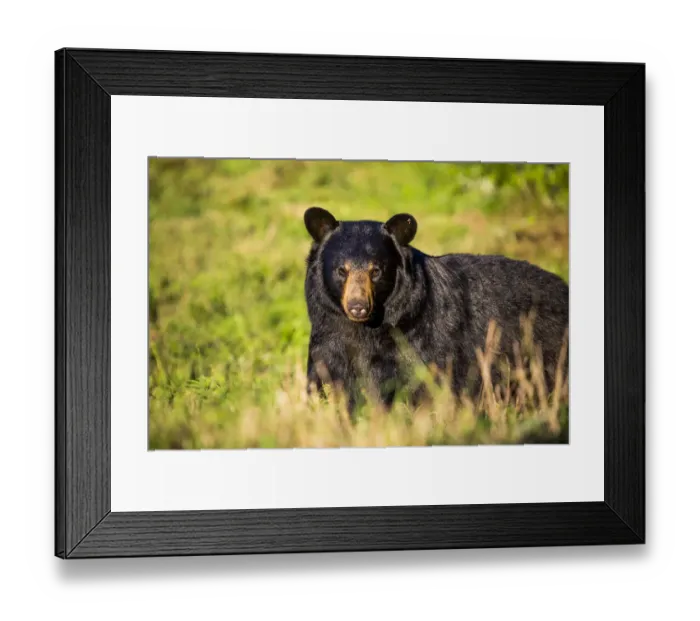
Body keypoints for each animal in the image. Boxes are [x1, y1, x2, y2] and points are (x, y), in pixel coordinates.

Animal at [303, 206, 569, 417]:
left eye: (376, 270)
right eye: (341, 270)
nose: (358, 306)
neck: (367, 328)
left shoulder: (418, 339)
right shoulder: (328, 338)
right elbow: (324, 378)